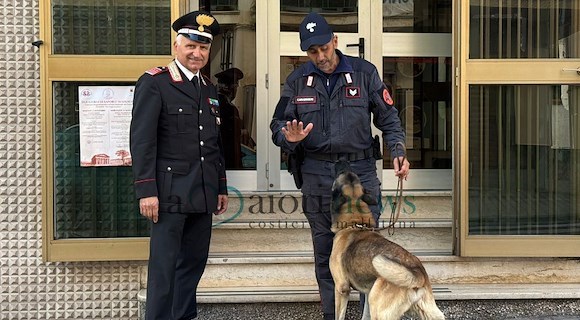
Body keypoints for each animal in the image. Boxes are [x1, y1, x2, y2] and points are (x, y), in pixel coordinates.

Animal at [328, 164, 446, 320]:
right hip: (429, 312)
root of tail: (418, 273)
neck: (355, 223)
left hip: (378, 307)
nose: (343, 163)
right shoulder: (367, 292)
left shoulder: (341, 288)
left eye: (340, 174)